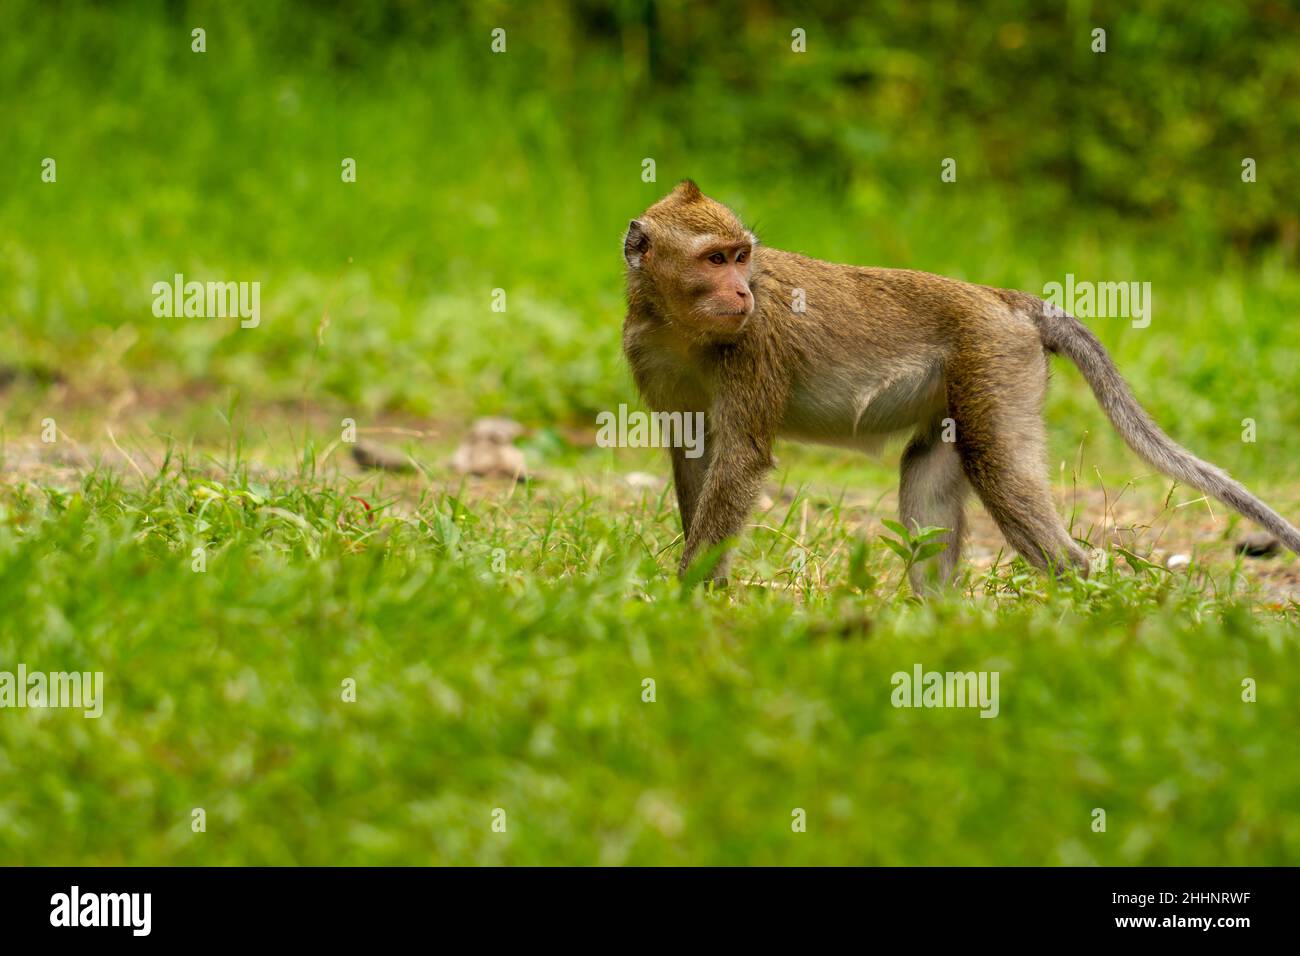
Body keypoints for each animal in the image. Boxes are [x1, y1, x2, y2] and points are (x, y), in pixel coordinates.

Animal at [621, 180, 1300, 590]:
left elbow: (739, 458)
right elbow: (695, 452)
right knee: (929, 466)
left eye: (741, 257)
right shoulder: (647, 351)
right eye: (715, 259)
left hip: (995, 361)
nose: (743, 292)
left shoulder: (754, 344)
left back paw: (1082, 591)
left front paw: (689, 591)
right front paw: (704, 582)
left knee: (998, 465)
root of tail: (1004, 300)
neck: (682, 326)